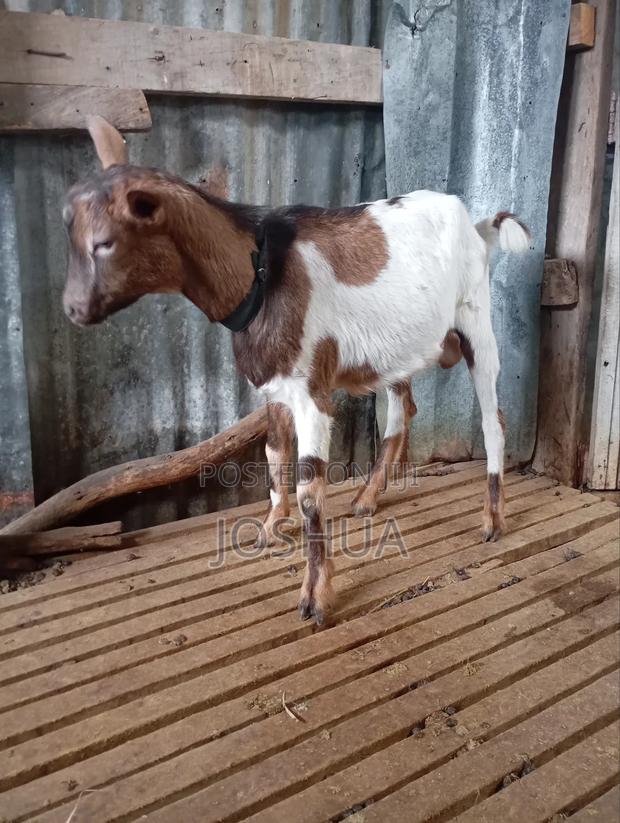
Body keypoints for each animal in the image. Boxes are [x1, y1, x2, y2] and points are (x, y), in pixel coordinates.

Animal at [62, 116, 530, 625]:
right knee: (402, 409)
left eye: (104, 243)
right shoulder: (273, 390)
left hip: (477, 320)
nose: (72, 308)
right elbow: (272, 455)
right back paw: (367, 499)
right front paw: (270, 528)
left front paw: (315, 595)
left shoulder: (311, 396)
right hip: (397, 350)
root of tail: (475, 225)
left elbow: (310, 490)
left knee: (493, 420)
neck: (261, 277)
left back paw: (492, 521)